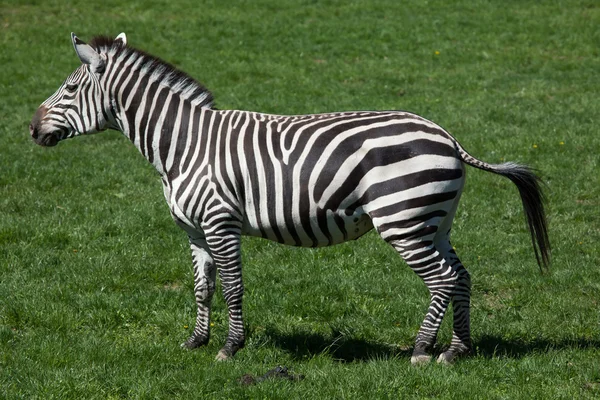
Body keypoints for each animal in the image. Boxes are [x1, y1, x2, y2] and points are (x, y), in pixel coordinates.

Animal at [31, 33, 548, 366]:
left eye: (70, 88)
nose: (31, 129)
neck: (183, 144)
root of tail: (448, 136)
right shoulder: (194, 229)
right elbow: (203, 287)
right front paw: (196, 342)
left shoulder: (220, 221)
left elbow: (233, 286)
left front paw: (230, 348)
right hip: (433, 221)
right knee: (461, 276)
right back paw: (457, 350)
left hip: (403, 221)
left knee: (442, 280)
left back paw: (423, 351)